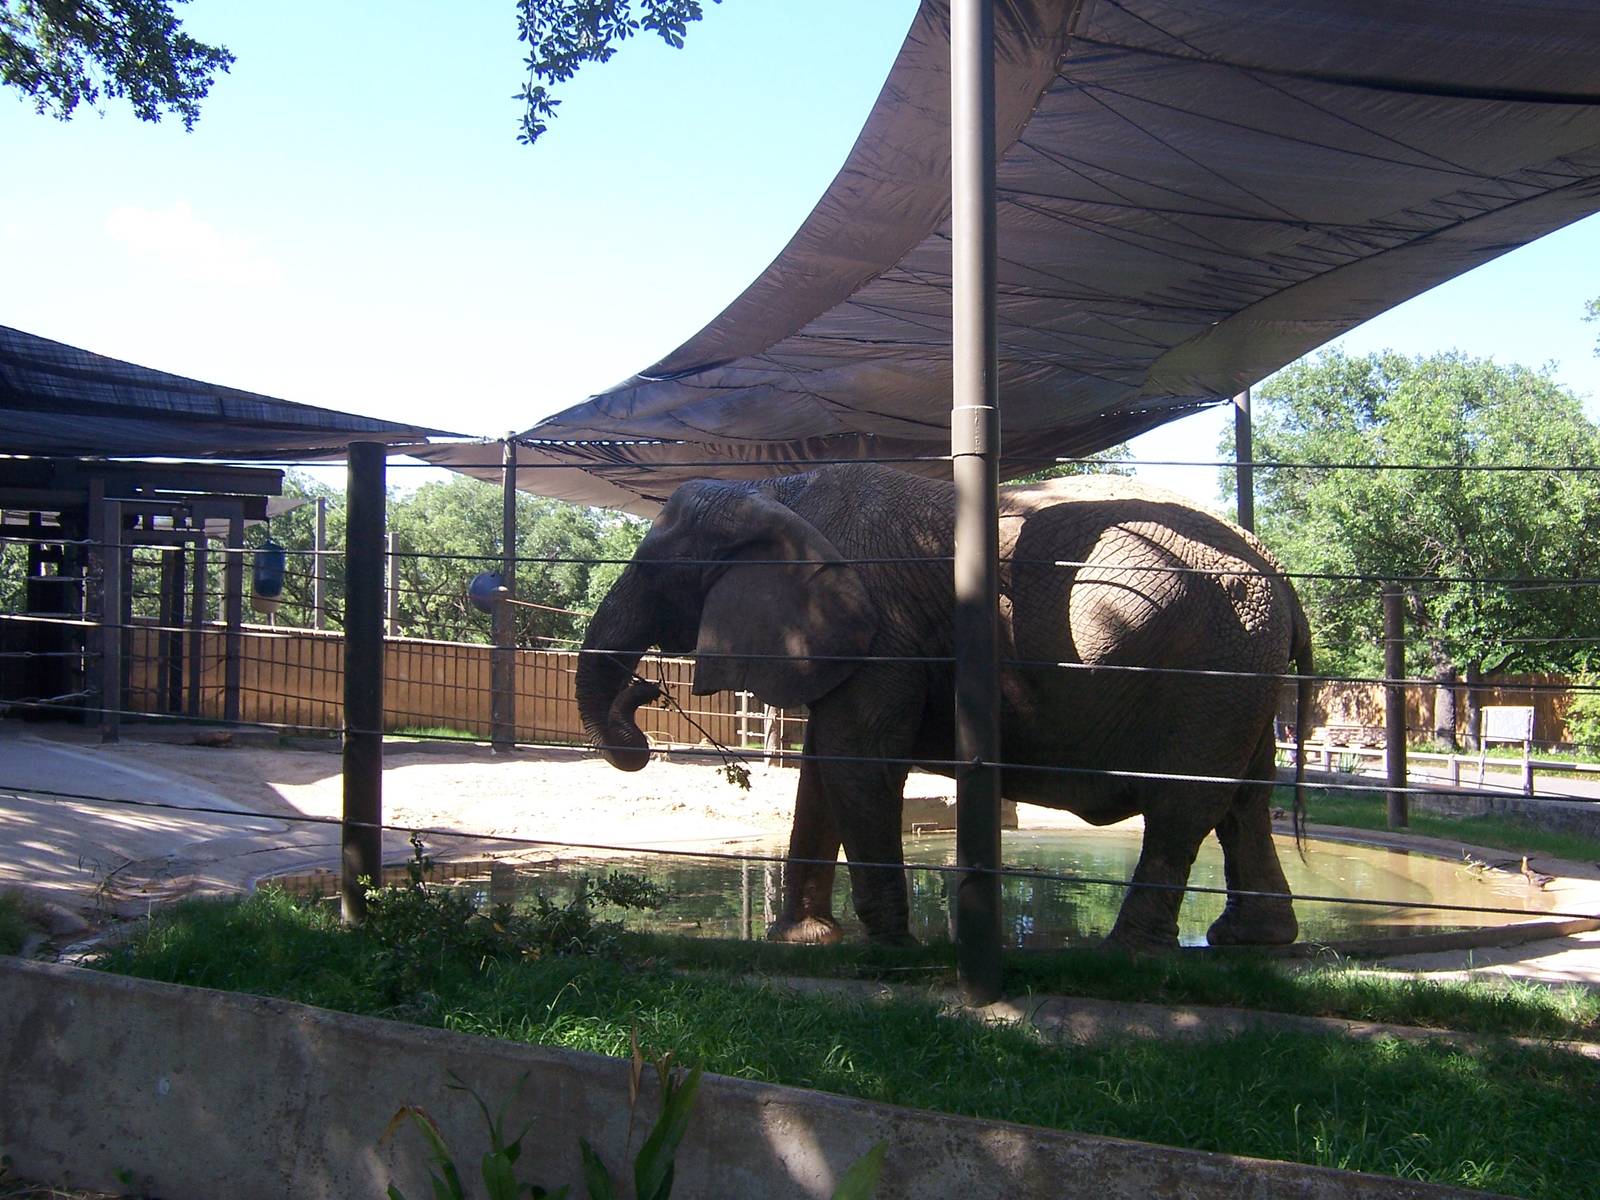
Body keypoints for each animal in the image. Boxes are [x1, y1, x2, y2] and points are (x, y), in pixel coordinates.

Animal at [576, 463, 1312, 952]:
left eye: (651, 572)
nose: (647, 692)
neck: (778, 495)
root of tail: (1280, 573)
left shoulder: (883, 634)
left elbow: (857, 763)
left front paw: (891, 948)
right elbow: (825, 770)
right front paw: (807, 941)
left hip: (1214, 664)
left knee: (1184, 806)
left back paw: (1127, 952)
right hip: (1243, 673)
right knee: (1245, 802)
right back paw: (1252, 940)